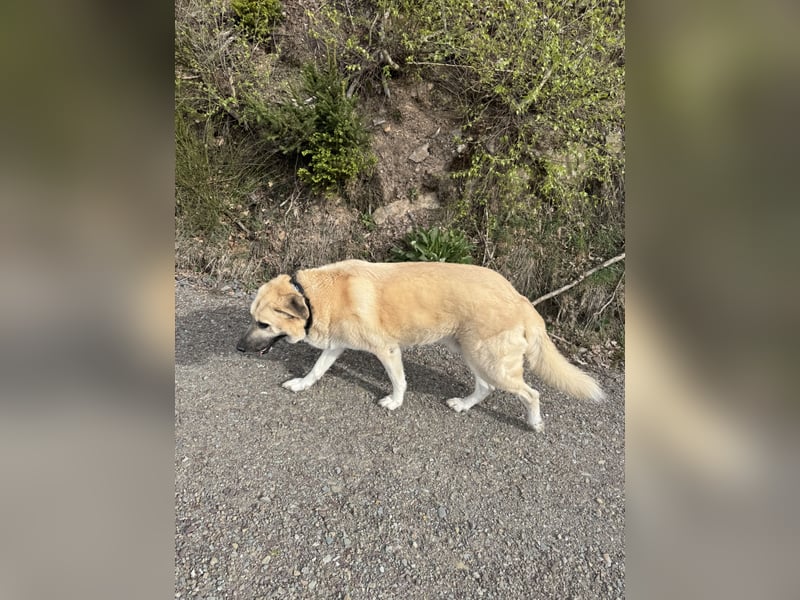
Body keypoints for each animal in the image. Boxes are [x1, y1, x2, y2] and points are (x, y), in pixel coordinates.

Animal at [236, 260, 604, 431]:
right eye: (252, 318)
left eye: (263, 324)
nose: (238, 348)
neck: (316, 296)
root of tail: (522, 300)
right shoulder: (336, 346)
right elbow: (316, 370)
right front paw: (301, 384)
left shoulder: (387, 349)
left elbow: (399, 380)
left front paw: (395, 402)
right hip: (471, 353)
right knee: (485, 387)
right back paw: (464, 405)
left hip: (492, 362)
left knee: (532, 393)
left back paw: (534, 422)